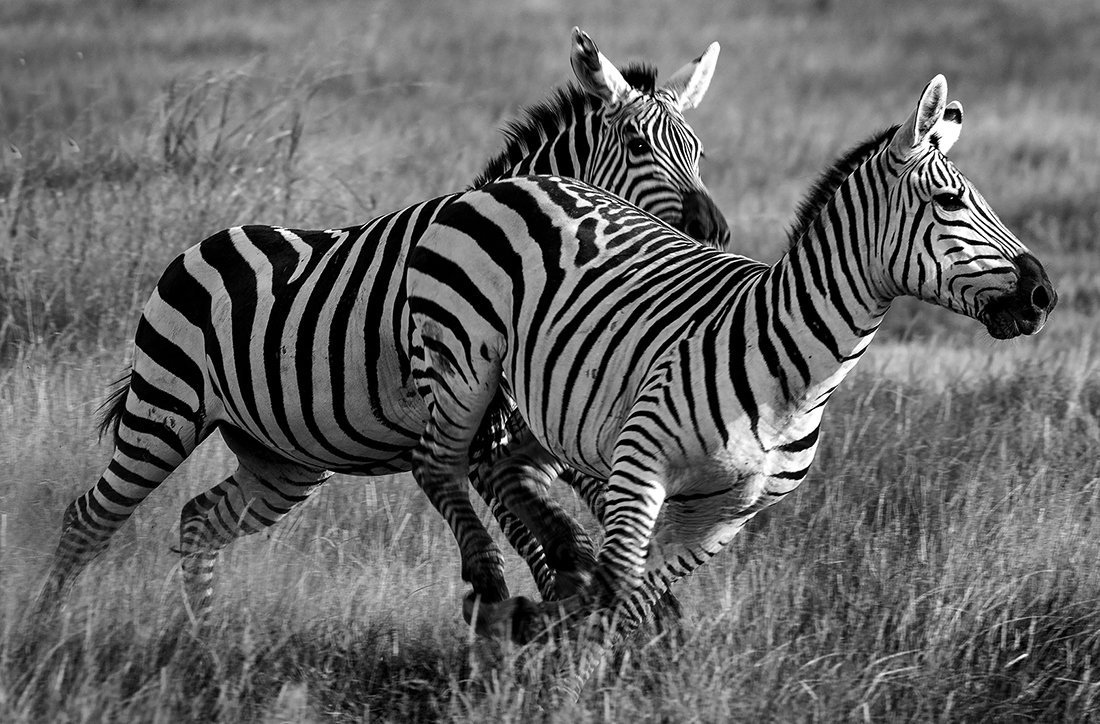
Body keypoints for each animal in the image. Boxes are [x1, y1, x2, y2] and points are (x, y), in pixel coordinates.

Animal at [35, 28, 730, 624]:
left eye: (699, 151)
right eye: (639, 147)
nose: (716, 229)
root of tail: (204, 243)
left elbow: (596, 510)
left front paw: (645, 622)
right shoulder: (481, 433)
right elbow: (542, 540)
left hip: (281, 460)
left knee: (199, 521)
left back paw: (202, 643)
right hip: (164, 412)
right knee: (87, 519)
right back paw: (46, 636)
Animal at [405, 74, 1056, 693]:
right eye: (949, 200)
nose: (1042, 296)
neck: (795, 369)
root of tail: (518, 180)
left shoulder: (724, 514)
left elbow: (629, 602)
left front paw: (573, 656)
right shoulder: (642, 460)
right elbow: (616, 585)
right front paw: (557, 670)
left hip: (543, 401)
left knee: (502, 467)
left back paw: (541, 577)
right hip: (465, 358)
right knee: (438, 464)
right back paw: (490, 589)